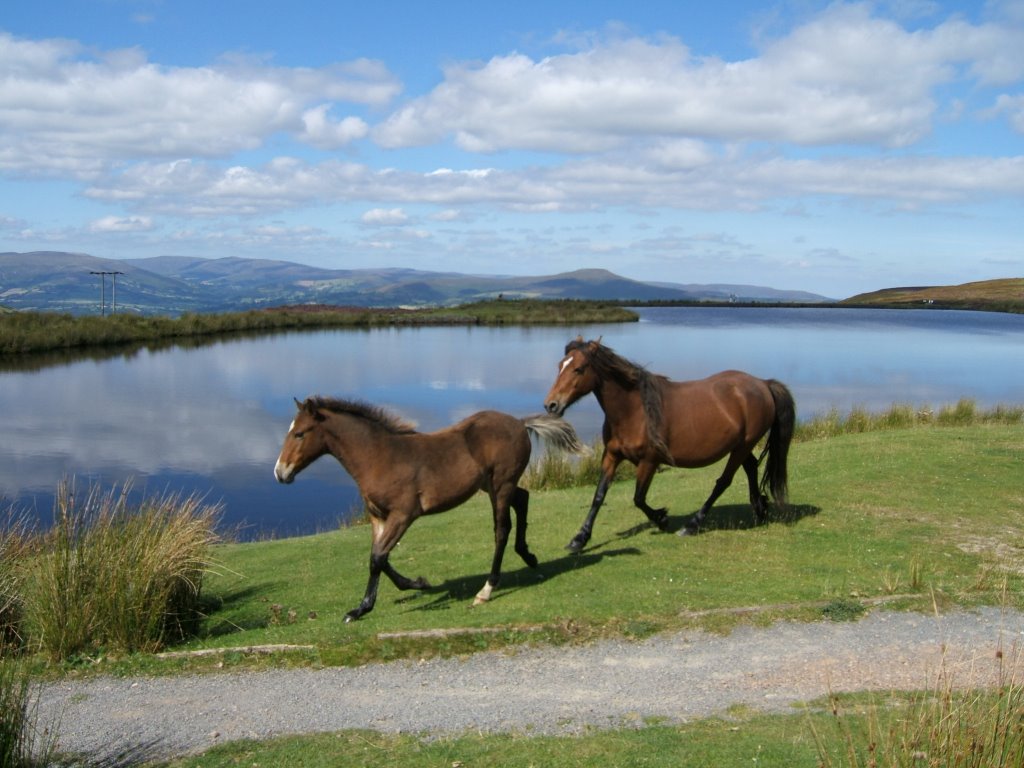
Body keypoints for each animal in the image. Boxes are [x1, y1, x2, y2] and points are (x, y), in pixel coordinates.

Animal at [274, 399, 585, 622]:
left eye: (299, 434)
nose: (280, 472)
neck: (380, 457)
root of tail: (519, 423)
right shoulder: (378, 517)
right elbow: (379, 557)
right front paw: (418, 584)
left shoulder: (404, 515)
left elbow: (377, 558)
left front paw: (361, 609)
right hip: (492, 486)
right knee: (523, 498)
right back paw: (528, 556)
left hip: (501, 484)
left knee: (501, 530)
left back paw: (486, 590)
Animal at [544, 337, 790, 552]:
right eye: (560, 366)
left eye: (579, 369)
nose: (551, 405)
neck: (635, 410)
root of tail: (763, 384)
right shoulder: (611, 456)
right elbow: (598, 496)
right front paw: (579, 539)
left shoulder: (649, 461)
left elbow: (638, 498)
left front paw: (661, 518)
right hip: (740, 446)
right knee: (751, 468)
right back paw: (760, 508)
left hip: (741, 448)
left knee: (723, 482)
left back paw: (692, 525)